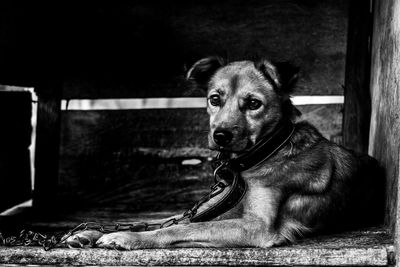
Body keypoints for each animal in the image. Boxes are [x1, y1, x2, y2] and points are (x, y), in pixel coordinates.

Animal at [64, 57, 382, 250]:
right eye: (214, 99)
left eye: (253, 103)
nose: (220, 136)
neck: (262, 156)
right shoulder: (214, 207)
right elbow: (170, 220)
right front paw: (90, 232)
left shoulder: (258, 227)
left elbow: (178, 229)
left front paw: (126, 237)